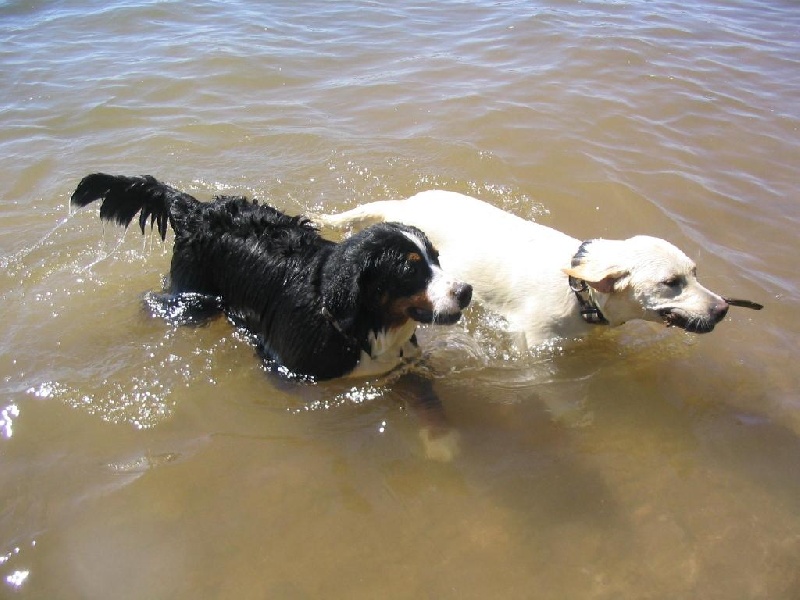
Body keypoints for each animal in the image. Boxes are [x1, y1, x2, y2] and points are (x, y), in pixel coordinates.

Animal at [318, 190, 736, 350]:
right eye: (671, 283)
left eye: (695, 273)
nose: (723, 308)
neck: (578, 290)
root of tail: (405, 204)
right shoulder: (535, 348)